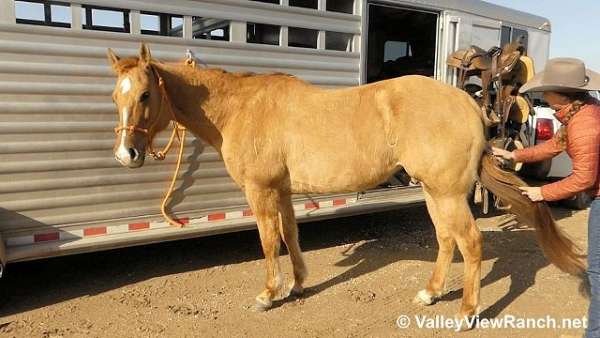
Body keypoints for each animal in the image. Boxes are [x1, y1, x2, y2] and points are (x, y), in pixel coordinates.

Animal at [108, 44, 584, 320]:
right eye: (116, 95)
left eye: (146, 94)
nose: (126, 155)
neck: (242, 107)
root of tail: (469, 105)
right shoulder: (282, 191)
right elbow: (291, 236)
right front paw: (298, 284)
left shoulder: (261, 191)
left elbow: (268, 241)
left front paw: (268, 294)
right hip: (434, 192)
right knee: (446, 240)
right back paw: (430, 293)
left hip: (448, 193)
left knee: (470, 243)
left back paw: (467, 311)